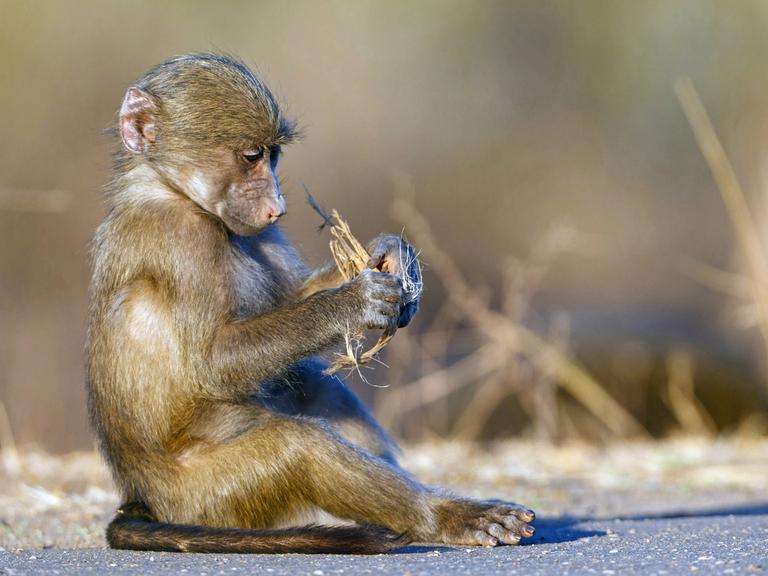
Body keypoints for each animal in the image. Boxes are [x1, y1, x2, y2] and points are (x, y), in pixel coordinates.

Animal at [87, 53, 536, 552]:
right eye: (250, 156)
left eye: (273, 154)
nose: (276, 208)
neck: (169, 189)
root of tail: (142, 498)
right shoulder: (179, 240)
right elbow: (212, 362)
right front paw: (354, 301)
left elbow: (290, 303)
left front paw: (389, 255)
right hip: (208, 497)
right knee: (298, 447)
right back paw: (447, 517)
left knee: (316, 386)